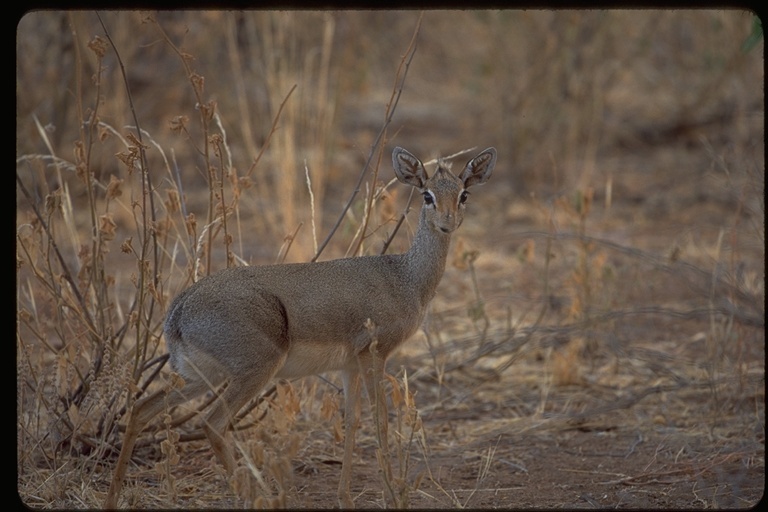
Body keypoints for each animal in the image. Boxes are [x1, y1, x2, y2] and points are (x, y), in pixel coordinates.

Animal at [103, 146, 498, 506]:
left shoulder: (350, 365)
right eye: (427, 194)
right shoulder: (375, 355)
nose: (448, 223)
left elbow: (353, 422)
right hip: (252, 371)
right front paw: (392, 495)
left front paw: (345, 497)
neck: (405, 277)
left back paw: (114, 496)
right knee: (211, 424)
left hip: (200, 376)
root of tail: (178, 310)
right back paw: (258, 497)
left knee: (142, 409)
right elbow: (381, 420)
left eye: (463, 194)